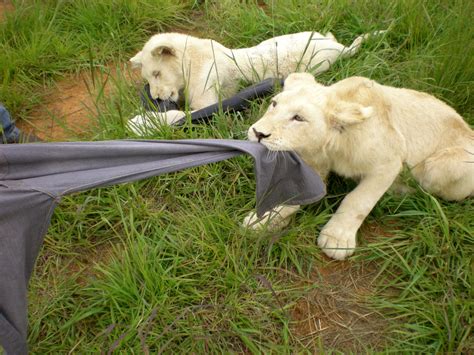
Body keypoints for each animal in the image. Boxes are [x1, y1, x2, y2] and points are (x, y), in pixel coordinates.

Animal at [246, 73, 472, 262]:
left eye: (298, 118)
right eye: (274, 103)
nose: (258, 133)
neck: (330, 146)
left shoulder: (390, 161)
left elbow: (358, 200)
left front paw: (336, 239)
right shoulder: (314, 162)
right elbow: (293, 193)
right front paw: (262, 220)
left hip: (442, 166)